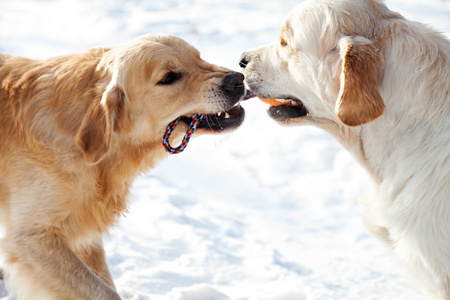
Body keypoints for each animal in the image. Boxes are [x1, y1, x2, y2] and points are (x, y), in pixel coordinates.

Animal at [0, 34, 246, 298]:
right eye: (169, 77)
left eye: (199, 57)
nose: (237, 79)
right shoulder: (31, 238)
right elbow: (104, 291)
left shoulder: (84, 230)